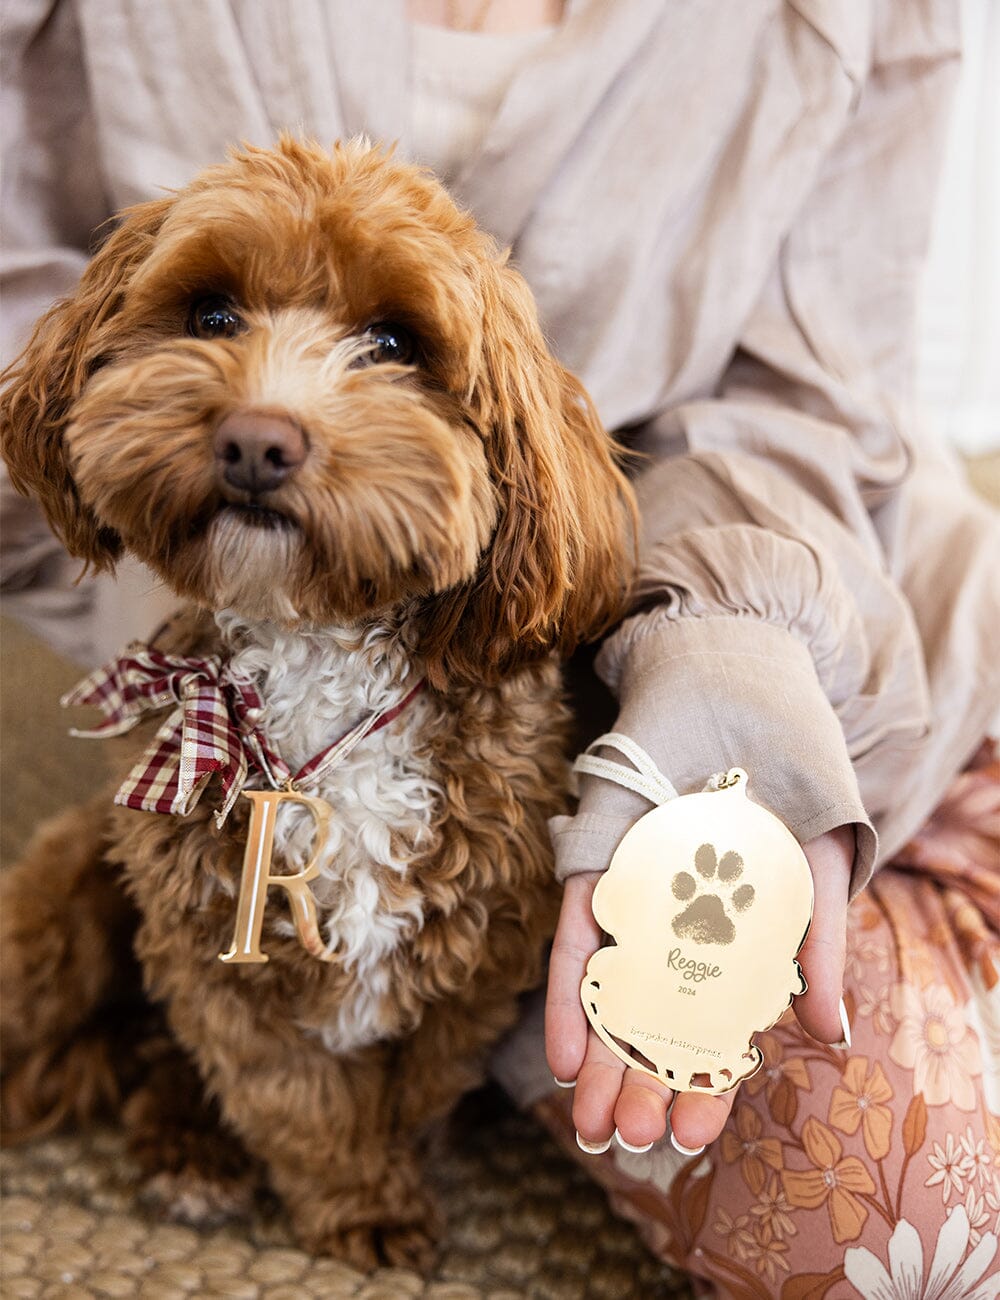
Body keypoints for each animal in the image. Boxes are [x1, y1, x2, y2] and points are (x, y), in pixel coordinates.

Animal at [1, 137, 631, 1263]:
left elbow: (406, 1092)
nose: (257, 439)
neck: (313, 661)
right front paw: (359, 1201)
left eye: (393, 342)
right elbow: (295, 1099)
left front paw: (390, 1186)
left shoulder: (475, 962)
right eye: (211, 313)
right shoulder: (210, 956)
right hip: (68, 897)